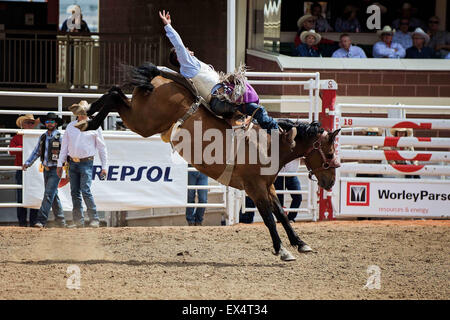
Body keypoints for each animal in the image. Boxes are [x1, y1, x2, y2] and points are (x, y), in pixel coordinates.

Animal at [79, 63, 340, 262]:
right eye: (329, 153)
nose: (330, 182)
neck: (269, 144)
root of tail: (161, 76)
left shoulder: (268, 187)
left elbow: (282, 216)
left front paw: (301, 243)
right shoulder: (254, 188)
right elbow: (268, 219)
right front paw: (282, 250)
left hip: (141, 116)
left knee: (115, 93)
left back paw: (87, 114)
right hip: (143, 122)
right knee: (114, 97)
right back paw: (88, 119)